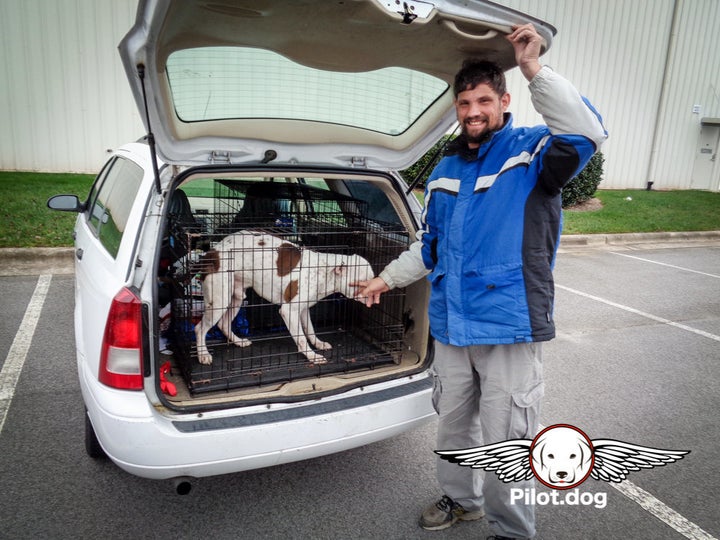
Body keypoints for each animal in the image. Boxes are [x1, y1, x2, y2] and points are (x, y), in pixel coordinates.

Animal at [194, 230, 374, 364]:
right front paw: (312, 355)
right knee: (200, 328)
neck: (323, 270)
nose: (375, 294)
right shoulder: (289, 311)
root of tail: (212, 252)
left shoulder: (303, 309)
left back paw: (238, 341)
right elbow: (301, 338)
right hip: (219, 300)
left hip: (236, 297)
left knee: (224, 324)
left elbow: (310, 330)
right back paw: (203, 354)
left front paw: (318, 344)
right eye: (362, 283)